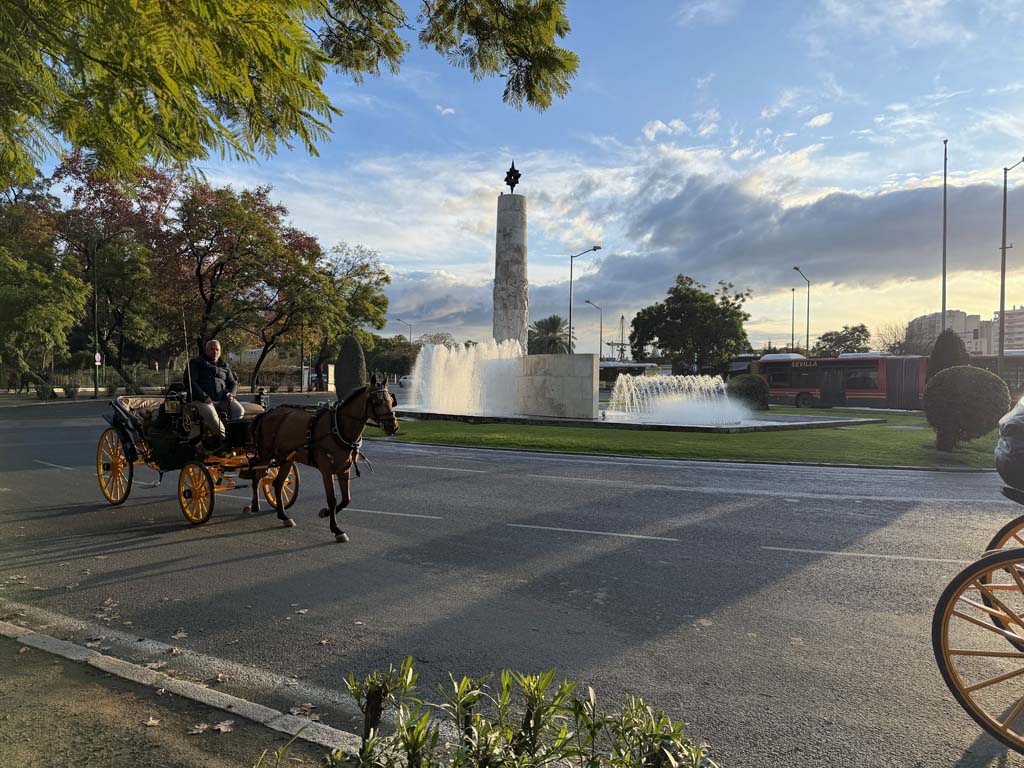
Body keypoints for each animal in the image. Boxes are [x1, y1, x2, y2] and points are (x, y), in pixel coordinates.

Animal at [247, 374, 399, 542]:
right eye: (377, 401)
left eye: (391, 401)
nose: (393, 426)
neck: (337, 428)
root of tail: (266, 413)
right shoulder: (326, 470)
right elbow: (332, 499)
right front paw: (336, 528)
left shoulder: (344, 469)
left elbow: (346, 499)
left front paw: (325, 513)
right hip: (266, 455)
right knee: (257, 476)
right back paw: (254, 505)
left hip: (287, 459)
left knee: (278, 483)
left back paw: (283, 515)